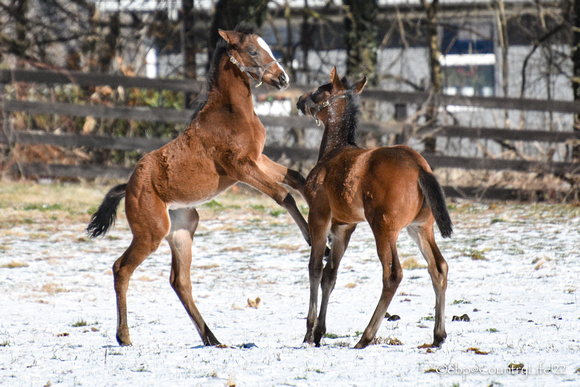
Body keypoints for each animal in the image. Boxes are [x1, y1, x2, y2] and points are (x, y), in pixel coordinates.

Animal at [86, 27, 310, 348]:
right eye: (253, 51)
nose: (283, 79)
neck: (232, 113)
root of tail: (128, 187)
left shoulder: (258, 159)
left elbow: (296, 178)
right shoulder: (240, 167)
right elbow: (283, 195)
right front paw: (316, 241)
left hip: (182, 230)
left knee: (179, 281)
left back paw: (212, 338)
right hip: (151, 233)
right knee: (121, 268)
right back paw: (124, 336)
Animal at [300, 68, 454, 350]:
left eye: (319, 90)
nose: (300, 100)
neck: (333, 152)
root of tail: (419, 167)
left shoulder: (318, 217)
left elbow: (315, 269)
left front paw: (309, 332)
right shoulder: (344, 227)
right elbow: (330, 275)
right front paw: (319, 332)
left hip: (383, 227)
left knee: (393, 274)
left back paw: (366, 336)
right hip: (419, 228)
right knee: (438, 267)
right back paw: (438, 335)